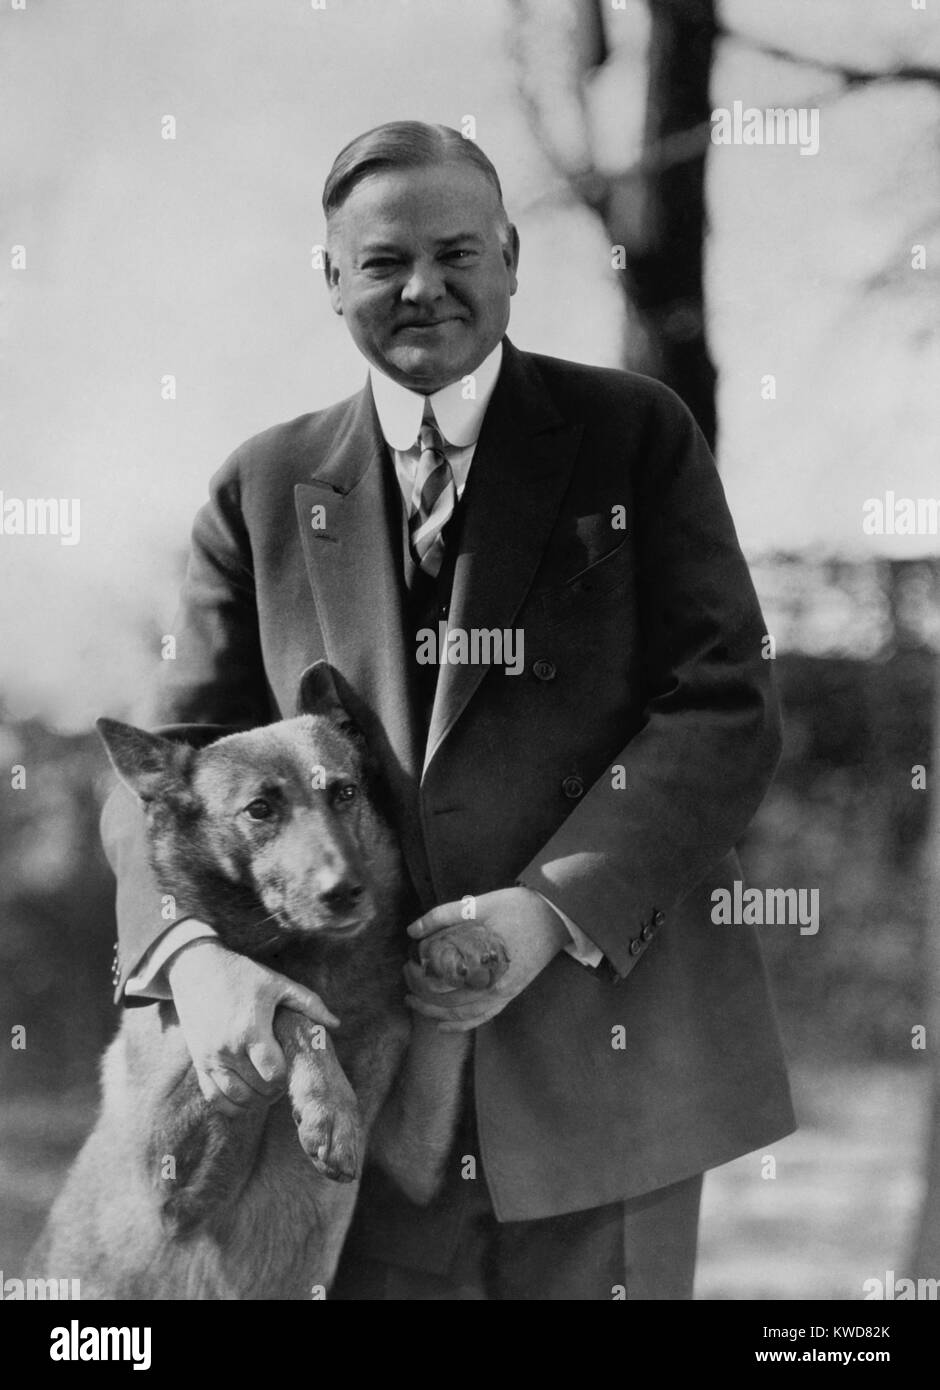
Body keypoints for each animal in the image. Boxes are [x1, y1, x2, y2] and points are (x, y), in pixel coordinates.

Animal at [29, 667, 511, 1295]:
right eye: (259, 809)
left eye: (344, 793)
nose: (346, 892)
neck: (315, 960)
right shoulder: (168, 1181)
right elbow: (287, 1007)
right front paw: (329, 1105)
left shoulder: (412, 1157)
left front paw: (456, 941)